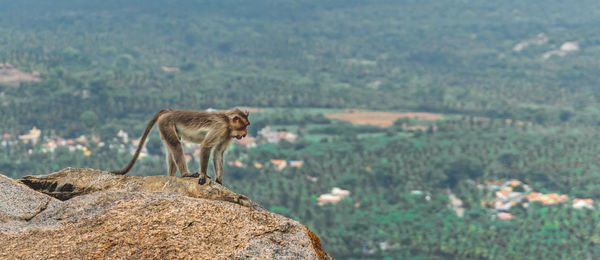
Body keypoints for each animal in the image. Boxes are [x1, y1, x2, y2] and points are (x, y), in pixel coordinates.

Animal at [111, 107, 250, 185]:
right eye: (244, 126)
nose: (245, 134)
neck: (227, 122)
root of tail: (170, 112)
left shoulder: (227, 134)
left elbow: (218, 152)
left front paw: (219, 180)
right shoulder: (220, 127)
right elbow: (206, 146)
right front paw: (203, 175)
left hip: (164, 127)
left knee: (171, 148)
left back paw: (171, 177)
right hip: (166, 123)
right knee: (176, 144)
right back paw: (185, 174)